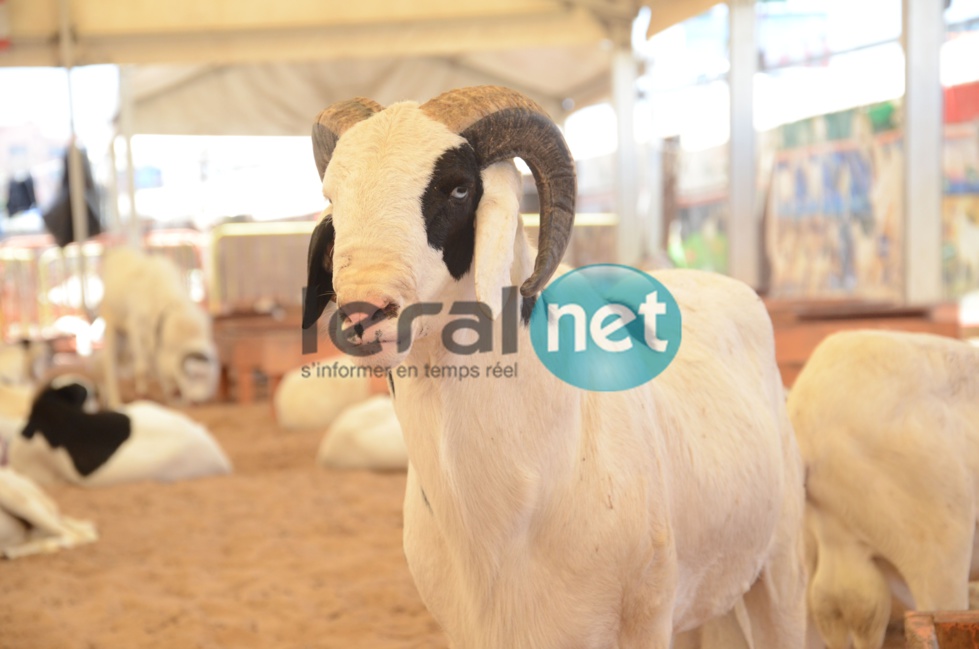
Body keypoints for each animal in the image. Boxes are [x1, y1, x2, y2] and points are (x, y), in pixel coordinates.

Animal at [99, 247, 218, 404]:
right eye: (194, 376)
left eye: (208, 377)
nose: (199, 401)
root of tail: (120, 252)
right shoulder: (136, 329)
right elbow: (142, 368)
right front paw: (142, 391)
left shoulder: (156, 344)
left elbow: (159, 369)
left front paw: (168, 395)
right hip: (113, 327)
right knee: (109, 368)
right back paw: (115, 401)